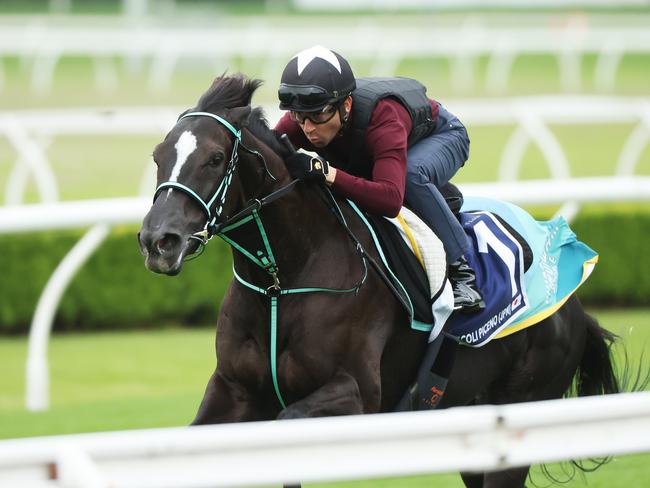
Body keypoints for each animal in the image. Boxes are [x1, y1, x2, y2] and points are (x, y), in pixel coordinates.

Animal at [137, 73, 624, 488]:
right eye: (159, 157)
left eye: (215, 158)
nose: (157, 241)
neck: (283, 278)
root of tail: (573, 301)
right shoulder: (233, 390)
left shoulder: (360, 396)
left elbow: (288, 422)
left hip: (523, 404)